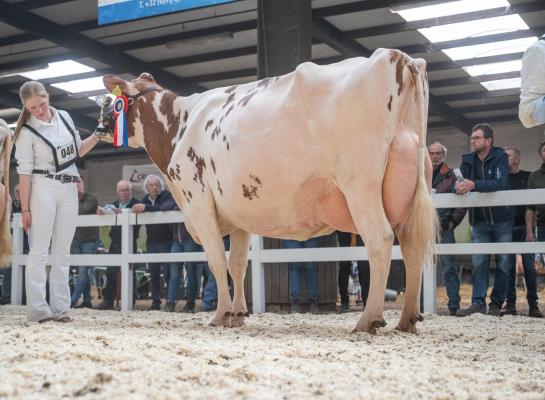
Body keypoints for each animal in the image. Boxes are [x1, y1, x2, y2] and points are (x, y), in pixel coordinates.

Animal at [100, 47, 436, 334]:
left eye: (114, 101)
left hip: (360, 184)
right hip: (414, 184)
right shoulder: (238, 213)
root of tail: (396, 56)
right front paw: (237, 315)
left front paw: (220, 314)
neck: (180, 124)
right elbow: (237, 265)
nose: (101, 122)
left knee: (380, 240)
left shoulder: (198, 201)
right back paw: (407, 320)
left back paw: (368, 320)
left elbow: (216, 261)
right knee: (413, 247)